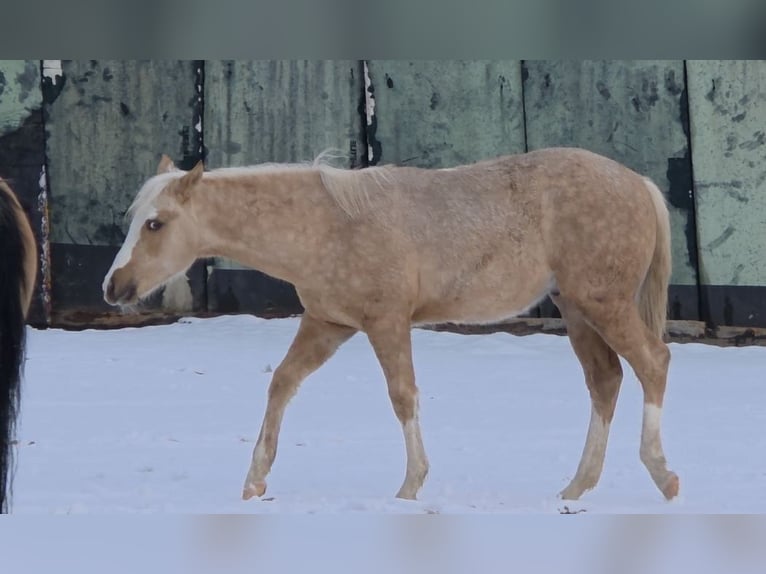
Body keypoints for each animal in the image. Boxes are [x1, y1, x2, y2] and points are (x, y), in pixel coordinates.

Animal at [103, 147, 679, 503]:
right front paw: (254, 482)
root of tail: (638, 183)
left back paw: (661, 473)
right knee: (605, 381)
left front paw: (410, 486)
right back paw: (577, 486)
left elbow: (403, 396)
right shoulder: (327, 324)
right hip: (578, 311)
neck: (328, 223)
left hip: (603, 305)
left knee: (653, 363)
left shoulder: (386, 323)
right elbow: (282, 384)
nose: (113, 286)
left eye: (155, 223)